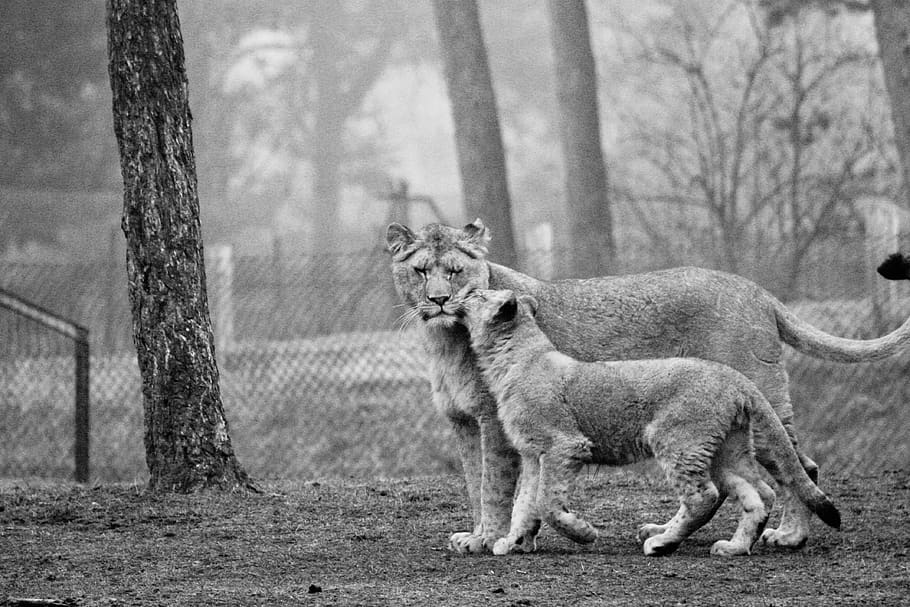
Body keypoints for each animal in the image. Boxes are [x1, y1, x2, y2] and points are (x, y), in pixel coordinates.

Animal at [462, 289, 841, 557]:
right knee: (758, 493)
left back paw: (663, 544)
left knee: (703, 496)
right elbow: (524, 503)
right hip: (727, 450)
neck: (513, 358)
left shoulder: (565, 445)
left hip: (676, 441)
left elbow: (546, 502)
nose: (459, 295)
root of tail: (736, 378)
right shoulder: (532, 453)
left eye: (477, 296)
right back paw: (734, 547)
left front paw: (583, 532)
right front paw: (511, 541)